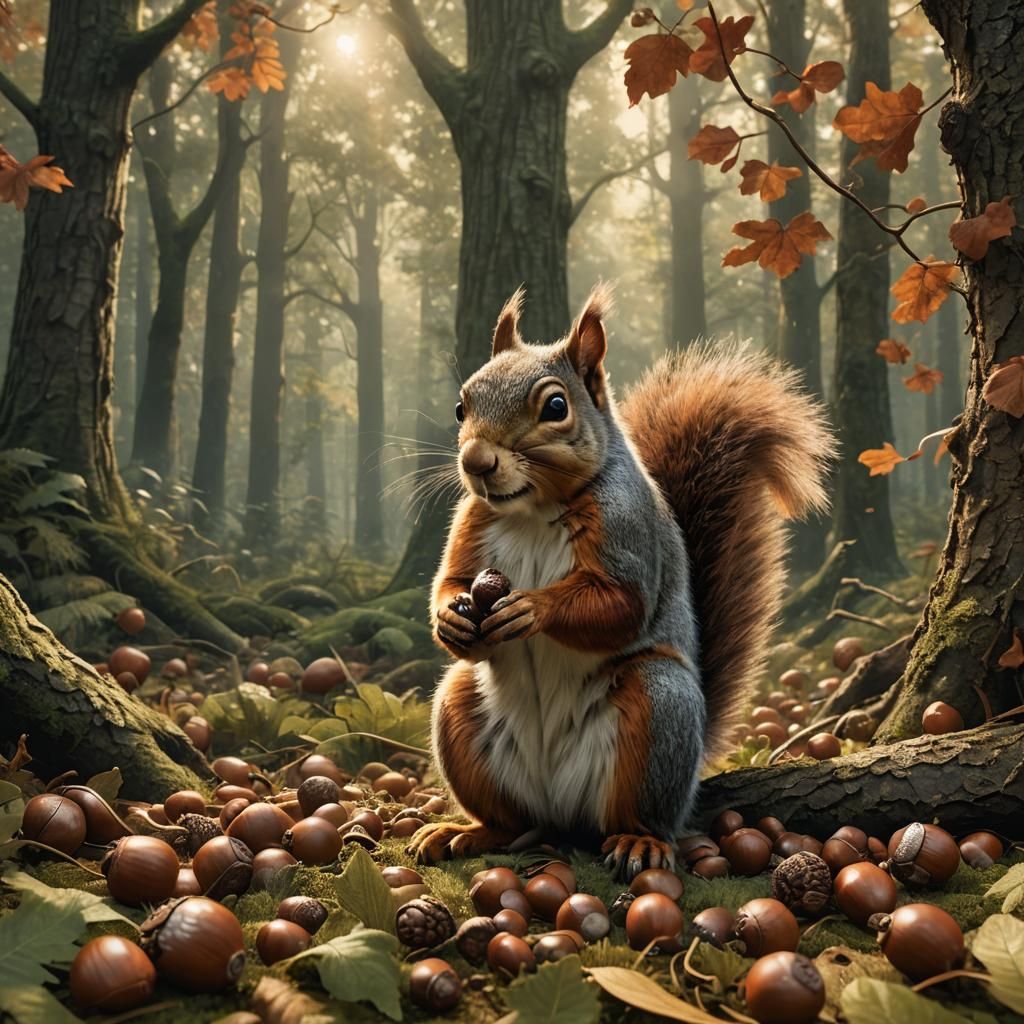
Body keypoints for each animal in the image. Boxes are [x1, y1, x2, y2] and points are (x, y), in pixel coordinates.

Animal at [408, 285, 835, 878]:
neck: (533, 509)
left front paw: (533, 608)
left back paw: (639, 842)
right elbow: (453, 581)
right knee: (509, 821)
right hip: (461, 712)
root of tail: (559, 809)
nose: (475, 461)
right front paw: (452, 618)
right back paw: (466, 831)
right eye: (460, 405)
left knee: (639, 812)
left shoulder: (627, 530)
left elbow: (621, 606)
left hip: (659, 710)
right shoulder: (472, 521)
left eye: (556, 407)